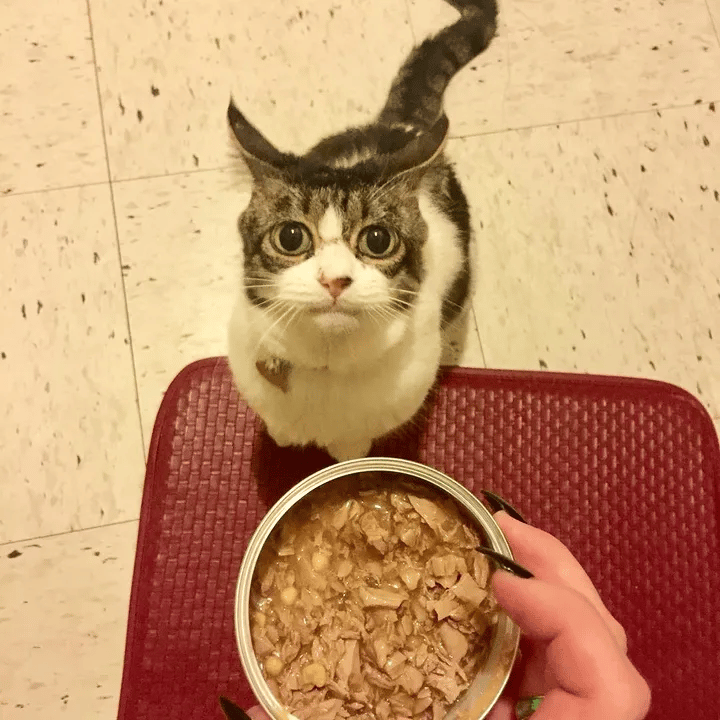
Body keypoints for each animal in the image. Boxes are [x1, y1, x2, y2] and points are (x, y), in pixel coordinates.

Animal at [228, 0, 498, 462]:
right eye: (291, 237)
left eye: (377, 240)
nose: (335, 279)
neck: (326, 371)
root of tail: (400, 126)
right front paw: (281, 435)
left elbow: (353, 448)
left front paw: (346, 452)